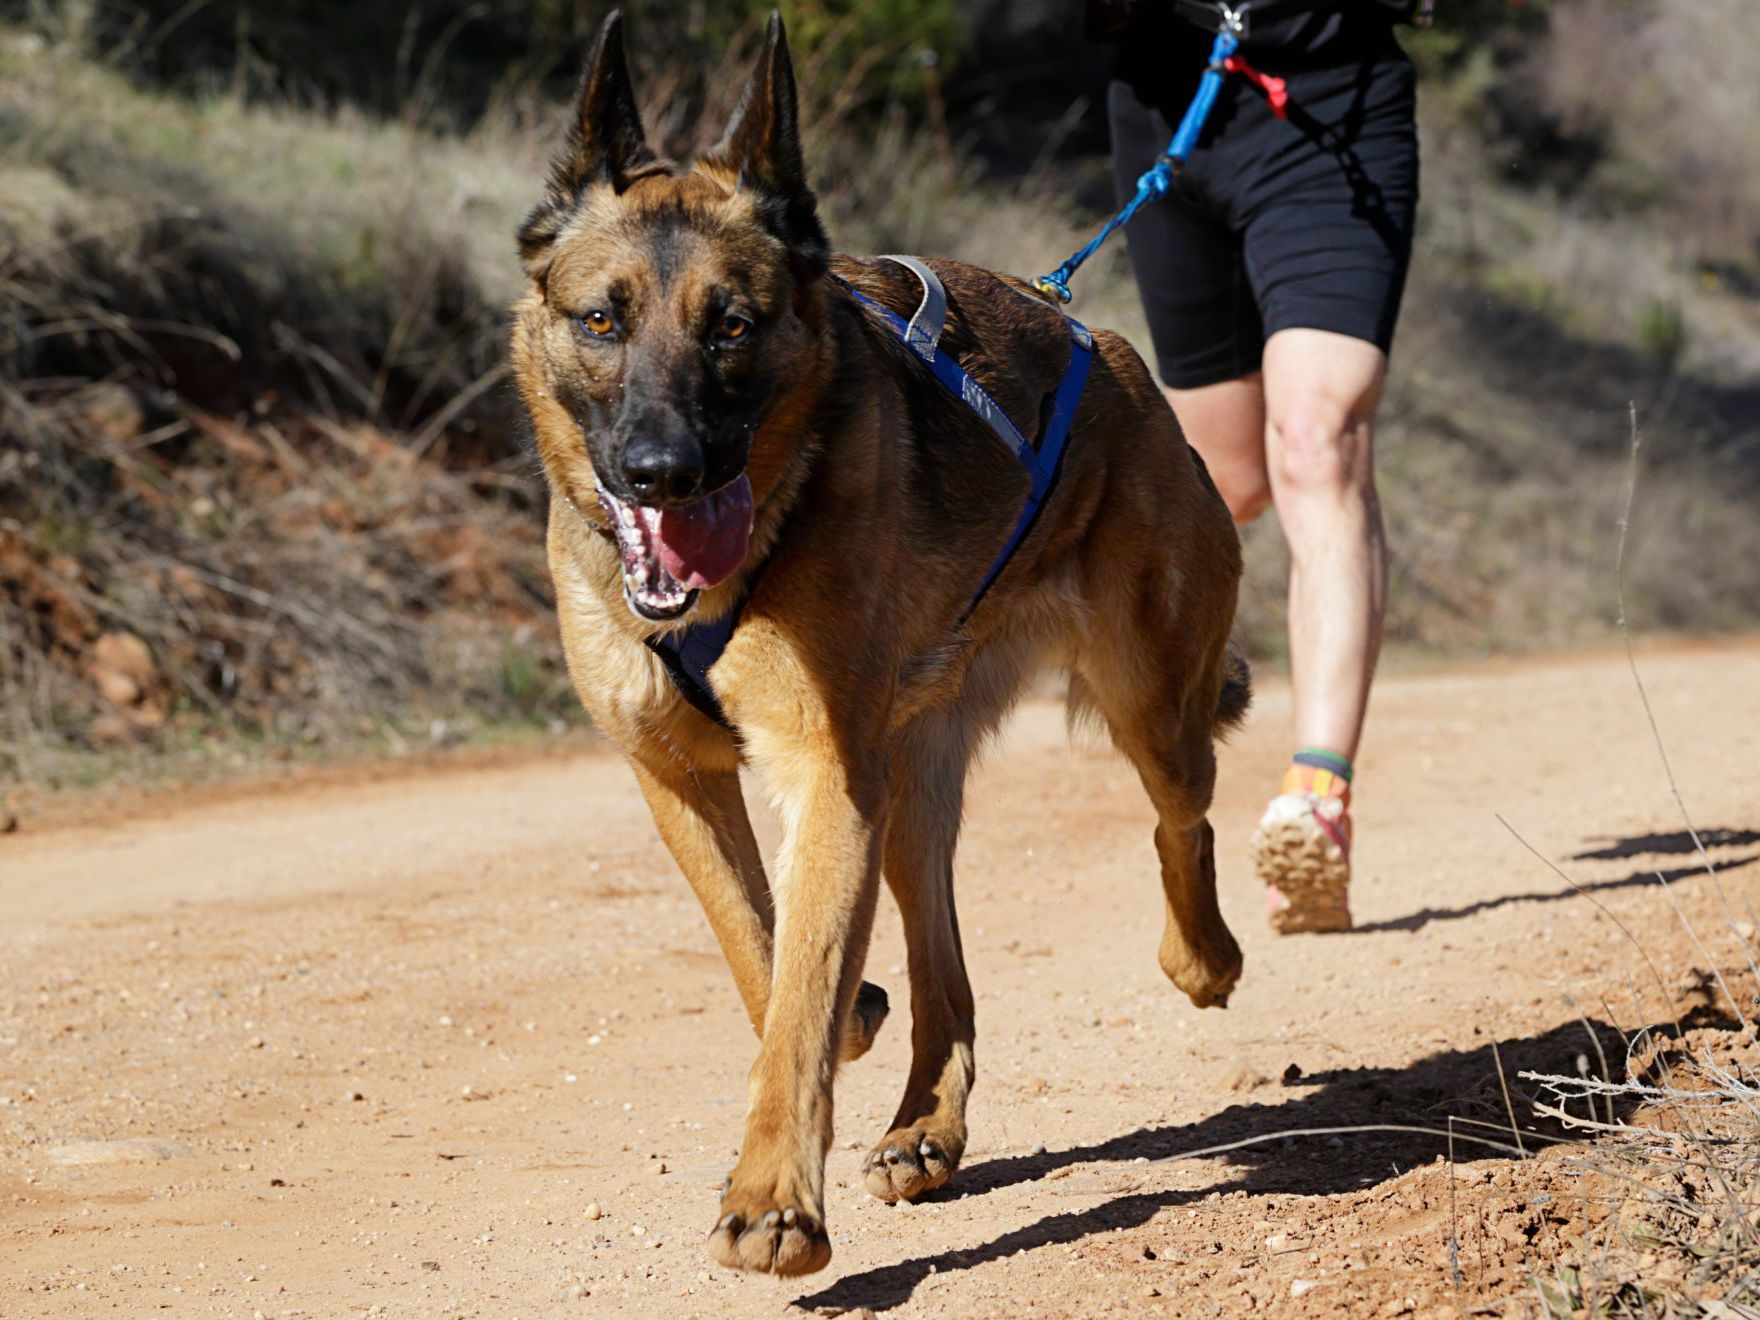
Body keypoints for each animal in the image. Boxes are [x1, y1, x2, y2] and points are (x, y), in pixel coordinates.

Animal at [510, 7, 1253, 1274]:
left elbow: (799, 993)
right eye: (600, 319)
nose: (661, 472)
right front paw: (843, 1027)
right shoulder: (680, 778)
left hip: (1148, 707)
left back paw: (1202, 959)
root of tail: (1101, 342)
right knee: (942, 969)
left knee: (1179, 818)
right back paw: (924, 1125)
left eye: (733, 327)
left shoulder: (825, 773)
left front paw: (771, 1200)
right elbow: (762, 949)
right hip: (909, 791)